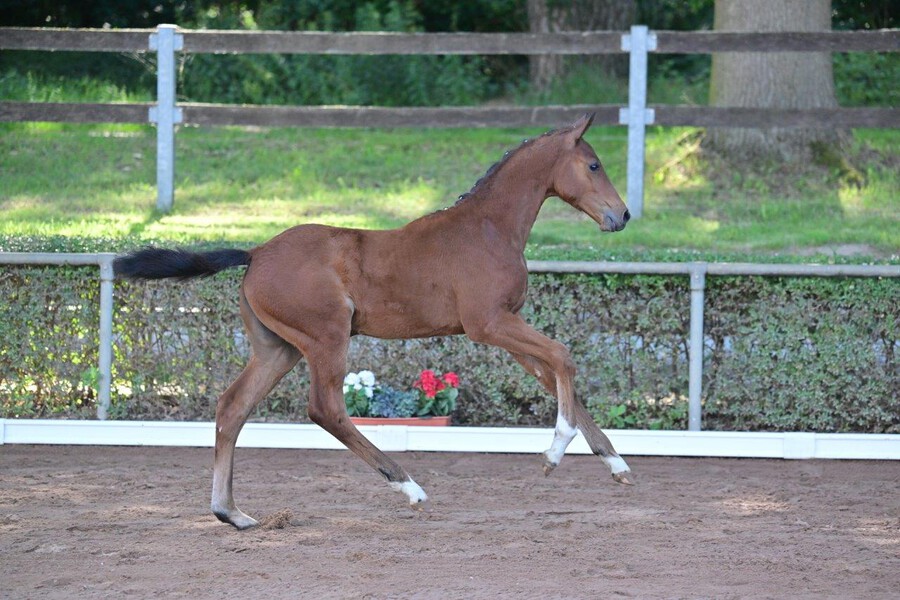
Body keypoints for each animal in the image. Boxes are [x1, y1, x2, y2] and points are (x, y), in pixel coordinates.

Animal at [114, 115, 632, 528]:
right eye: (593, 165)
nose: (622, 215)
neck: (488, 229)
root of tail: (256, 252)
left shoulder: (507, 325)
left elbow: (555, 375)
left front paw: (616, 464)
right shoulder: (489, 324)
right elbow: (564, 357)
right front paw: (554, 453)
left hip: (278, 348)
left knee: (232, 407)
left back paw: (232, 512)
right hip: (326, 336)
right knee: (325, 409)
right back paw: (408, 487)